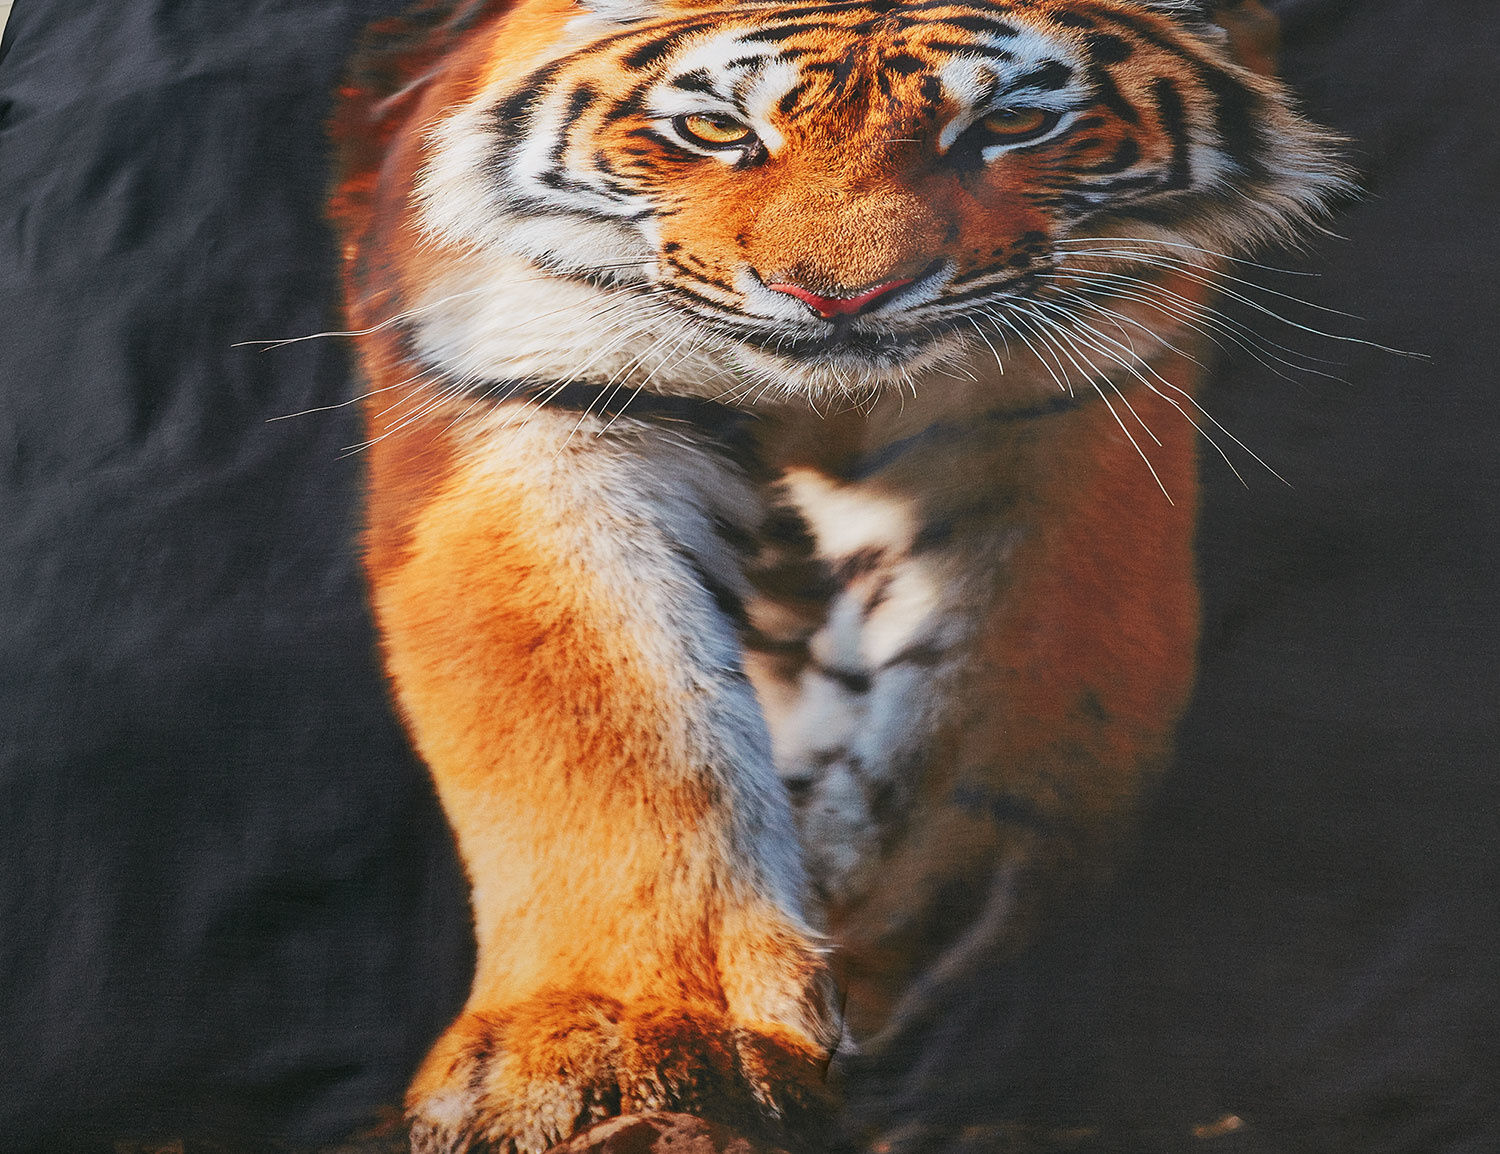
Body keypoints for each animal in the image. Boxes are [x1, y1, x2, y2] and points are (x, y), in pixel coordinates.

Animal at [327, 0, 1347, 1150]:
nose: (838, 298)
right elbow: (610, 731)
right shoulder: (532, 381)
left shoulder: (1063, 392)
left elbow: (1001, 718)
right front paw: (625, 1040)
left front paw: (909, 974)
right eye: (718, 129)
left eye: (1013, 124)